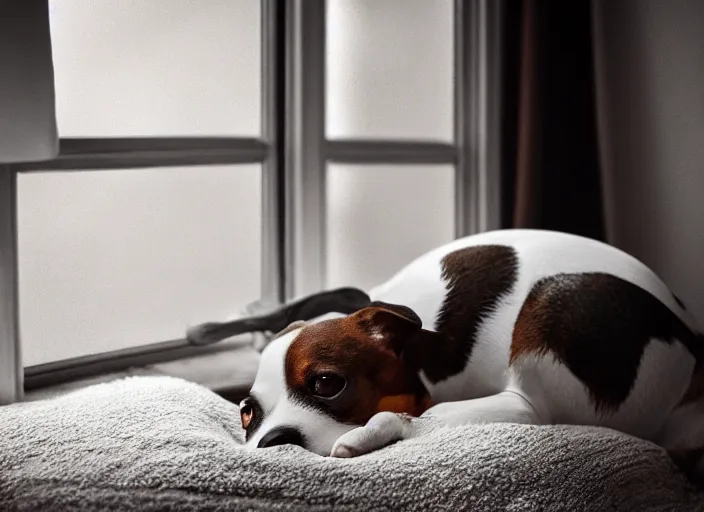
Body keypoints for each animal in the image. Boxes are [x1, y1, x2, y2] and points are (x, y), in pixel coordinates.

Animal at [187, 230, 704, 482]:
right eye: (247, 412)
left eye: (327, 383)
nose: (273, 440)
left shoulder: (526, 408)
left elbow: (416, 416)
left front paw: (366, 434)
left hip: (554, 302)